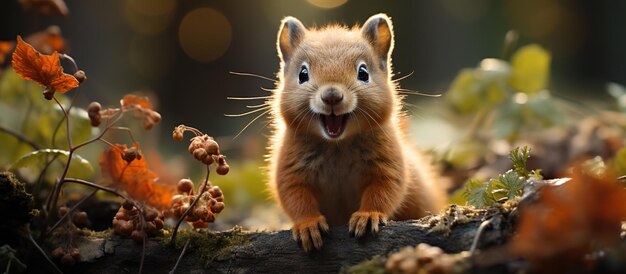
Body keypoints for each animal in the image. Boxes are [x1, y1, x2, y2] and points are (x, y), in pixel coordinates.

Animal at [266, 13, 446, 252]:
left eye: (363, 72)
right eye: (303, 74)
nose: (332, 96)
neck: (337, 145)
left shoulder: (387, 164)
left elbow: (384, 190)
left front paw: (367, 216)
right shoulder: (291, 170)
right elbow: (296, 197)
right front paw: (308, 224)